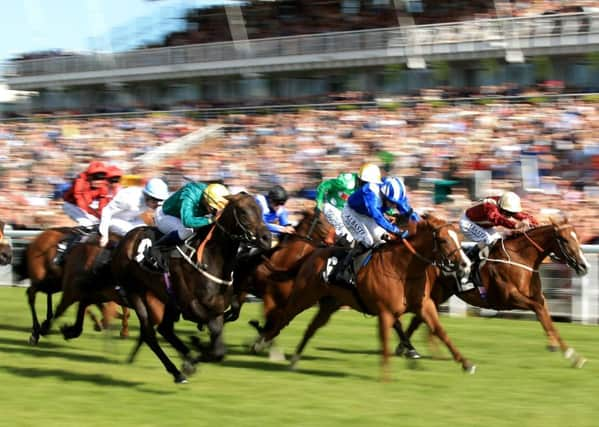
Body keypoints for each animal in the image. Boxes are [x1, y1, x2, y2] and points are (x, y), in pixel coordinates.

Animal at [112, 194, 272, 384]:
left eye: (260, 210)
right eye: (242, 212)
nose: (267, 238)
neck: (210, 259)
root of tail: (127, 237)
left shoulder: (216, 311)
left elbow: (219, 352)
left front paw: (193, 354)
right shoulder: (192, 308)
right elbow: (214, 348)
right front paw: (193, 353)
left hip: (168, 300)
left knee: (164, 329)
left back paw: (181, 367)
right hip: (136, 292)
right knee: (150, 333)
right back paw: (177, 370)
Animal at [255, 214, 476, 382]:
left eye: (459, 237)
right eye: (444, 240)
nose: (465, 264)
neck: (403, 268)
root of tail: (313, 253)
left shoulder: (424, 305)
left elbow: (440, 332)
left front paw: (466, 363)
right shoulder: (385, 311)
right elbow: (385, 340)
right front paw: (386, 377)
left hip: (329, 304)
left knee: (311, 328)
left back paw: (293, 360)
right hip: (303, 296)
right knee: (283, 316)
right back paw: (262, 342)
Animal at [396, 219, 588, 370]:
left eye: (577, 238)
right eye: (564, 239)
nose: (584, 266)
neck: (521, 257)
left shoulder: (537, 297)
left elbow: (547, 318)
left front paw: (573, 356)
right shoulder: (510, 297)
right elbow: (540, 312)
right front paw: (559, 348)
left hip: (440, 294)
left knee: (419, 319)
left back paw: (413, 349)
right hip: (434, 294)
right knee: (419, 318)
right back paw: (410, 349)